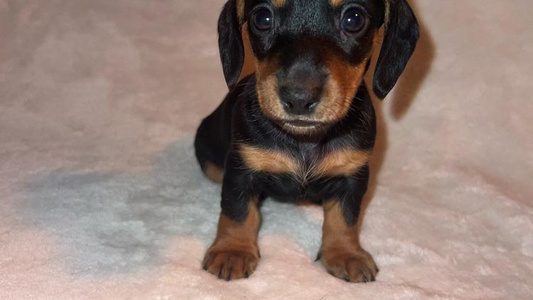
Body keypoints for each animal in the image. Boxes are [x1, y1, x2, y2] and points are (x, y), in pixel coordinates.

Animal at [193, 0, 418, 282]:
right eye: (262, 17)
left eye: (354, 19)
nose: (298, 98)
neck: (305, 139)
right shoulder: (241, 169)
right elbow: (237, 212)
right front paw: (233, 251)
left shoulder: (352, 175)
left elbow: (344, 219)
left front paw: (346, 254)